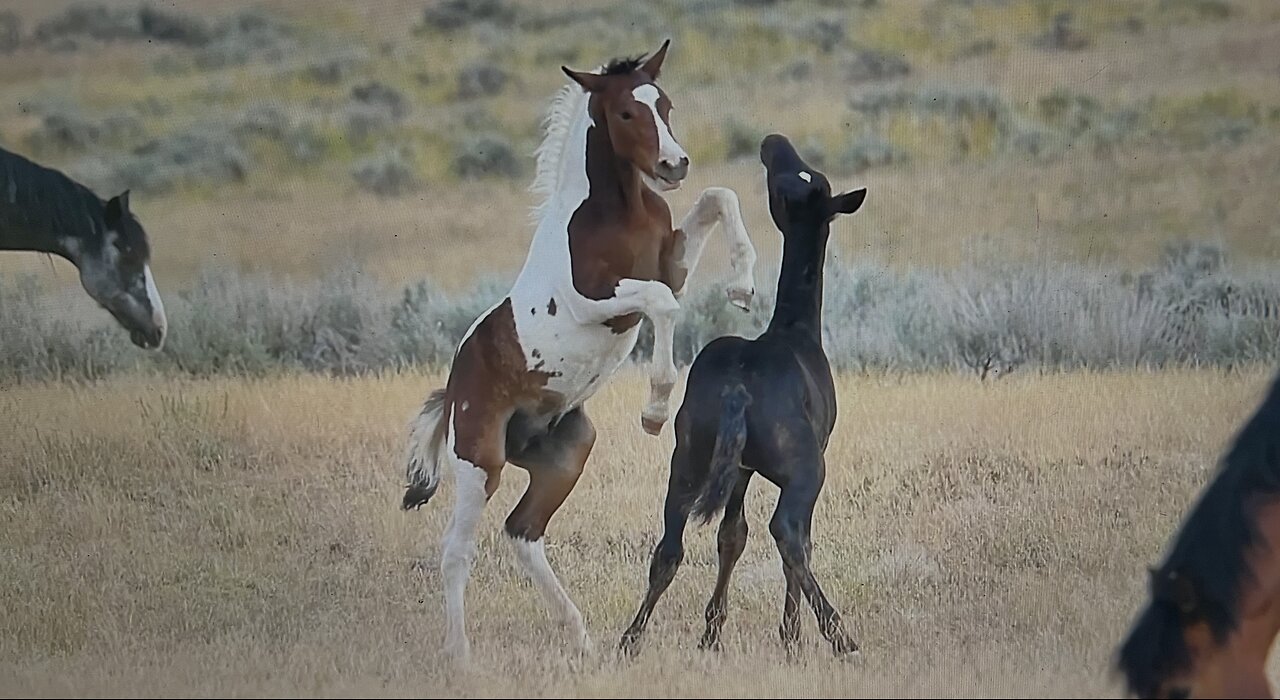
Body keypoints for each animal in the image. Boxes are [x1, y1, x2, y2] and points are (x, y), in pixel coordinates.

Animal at [399, 40, 757, 665]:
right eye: (626, 113)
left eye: (665, 104)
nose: (674, 165)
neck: (615, 210)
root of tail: (453, 387)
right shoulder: (597, 299)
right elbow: (662, 303)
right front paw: (655, 408)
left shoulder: (672, 261)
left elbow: (719, 199)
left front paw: (743, 283)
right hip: (479, 463)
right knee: (456, 552)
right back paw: (462, 656)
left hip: (566, 455)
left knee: (523, 532)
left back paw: (582, 637)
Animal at [619, 134, 870, 660]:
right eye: (784, 180)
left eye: (798, 175)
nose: (773, 143)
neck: (796, 330)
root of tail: (738, 389)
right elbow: (796, 540)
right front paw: (791, 635)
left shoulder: (738, 469)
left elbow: (730, 536)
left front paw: (711, 632)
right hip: (804, 469)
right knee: (788, 533)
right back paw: (838, 635)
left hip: (689, 458)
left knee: (669, 546)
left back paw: (630, 638)